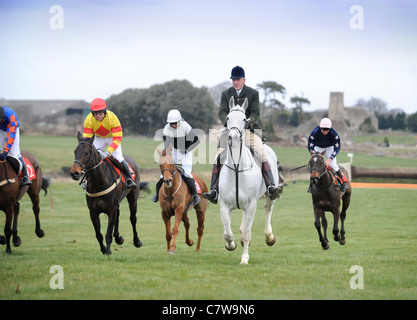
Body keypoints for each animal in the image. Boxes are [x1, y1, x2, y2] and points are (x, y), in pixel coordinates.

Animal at [218, 98, 280, 264]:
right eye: (227, 118)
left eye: (244, 120)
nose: (232, 138)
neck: (237, 169)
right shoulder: (224, 205)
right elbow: (227, 233)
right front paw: (231, 244)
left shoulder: (251, 205)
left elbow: (247, 233)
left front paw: (244, 259)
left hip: (269, 195)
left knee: (268, 210)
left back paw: (269, 237)